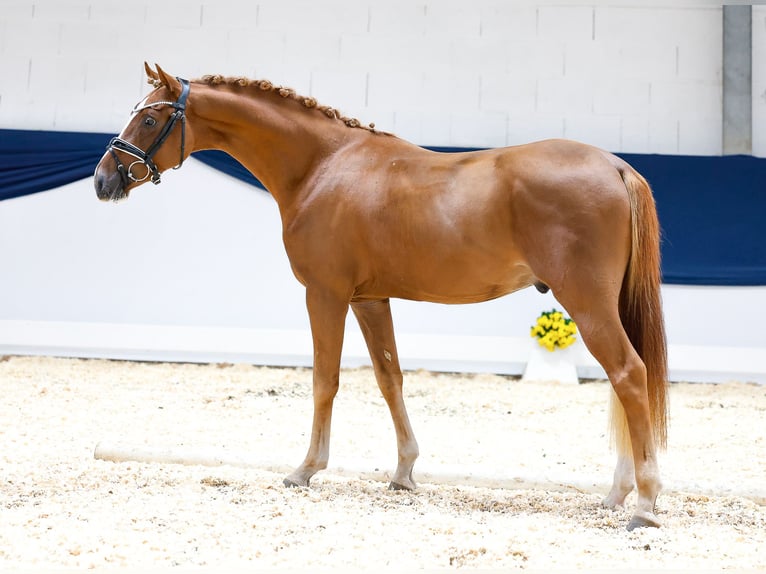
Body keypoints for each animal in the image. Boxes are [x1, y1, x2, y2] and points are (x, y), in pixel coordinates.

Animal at [96, 64, 668, 532]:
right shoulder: (369, 299)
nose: (104, 180)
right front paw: (404, 472)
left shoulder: (324, 294)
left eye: (150, 118)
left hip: (587, 304)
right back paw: (617, 494)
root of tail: (615, 166)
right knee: (623, 383)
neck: (322, 166)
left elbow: (324, 381)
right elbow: (390, 379)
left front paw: (305, 469)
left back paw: (643, 504)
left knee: (629, 375)